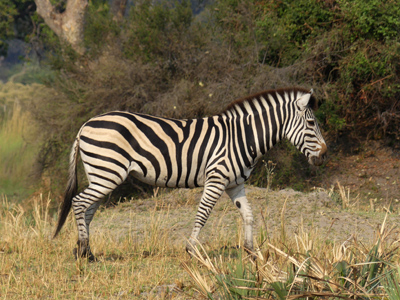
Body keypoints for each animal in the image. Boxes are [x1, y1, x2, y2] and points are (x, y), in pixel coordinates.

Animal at [54, 86, 328, 260]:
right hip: (108, 173)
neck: (242, 137)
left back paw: (86, 251)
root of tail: (85, 125)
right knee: (79, 202)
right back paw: (84, 252)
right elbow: (203, 214)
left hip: (101, 174)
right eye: (312, 123)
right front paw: (191, 250)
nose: (325, 155)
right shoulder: (216, 179)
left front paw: (252, 252)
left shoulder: (235, 184)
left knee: (89, 209)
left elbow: (248, 215)